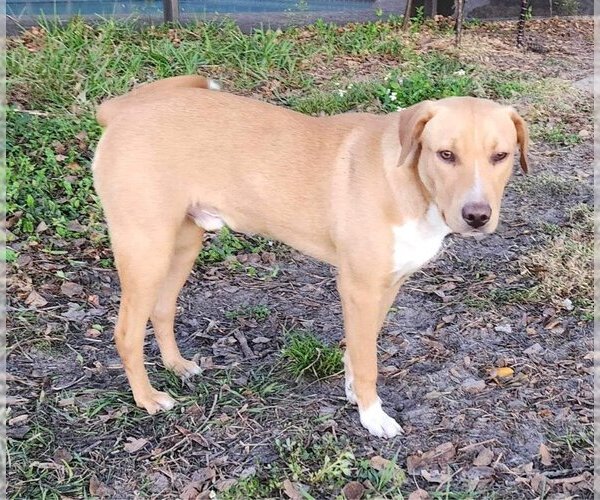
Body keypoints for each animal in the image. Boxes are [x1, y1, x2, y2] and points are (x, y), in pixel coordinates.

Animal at [91, 75, 528, 438]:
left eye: (501, 156)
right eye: (445, 154)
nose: (477, 216)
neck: (411, 184)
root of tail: (120, 111)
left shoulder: (387, 285)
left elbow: (359, 346)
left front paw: (354, 392)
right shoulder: (359, 287)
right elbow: (367, 359)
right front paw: (372, 415)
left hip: (183, 244)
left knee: (162, 309)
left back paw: (176, 366)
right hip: (145, 250)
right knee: (127, 332)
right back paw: (147, 399)